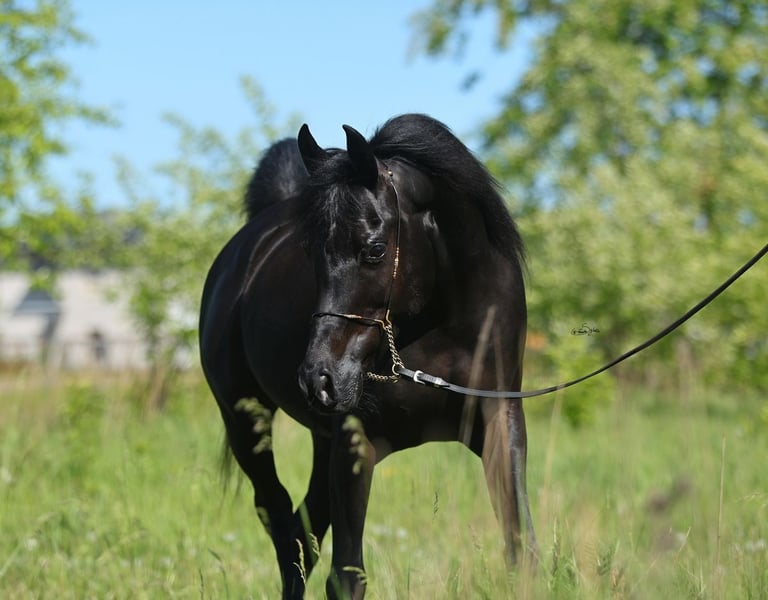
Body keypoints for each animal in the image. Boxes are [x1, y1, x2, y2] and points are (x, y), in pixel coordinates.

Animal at [199, 113, 536, 599]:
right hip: (246, 422)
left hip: (320, 440)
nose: (320, 379)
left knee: (301, 532)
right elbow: (346, 576)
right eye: (310, 251)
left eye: (375, 249)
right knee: (282, 527)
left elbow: (520, 549)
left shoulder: (498, 421)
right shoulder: (356, 441)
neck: (441, 323)